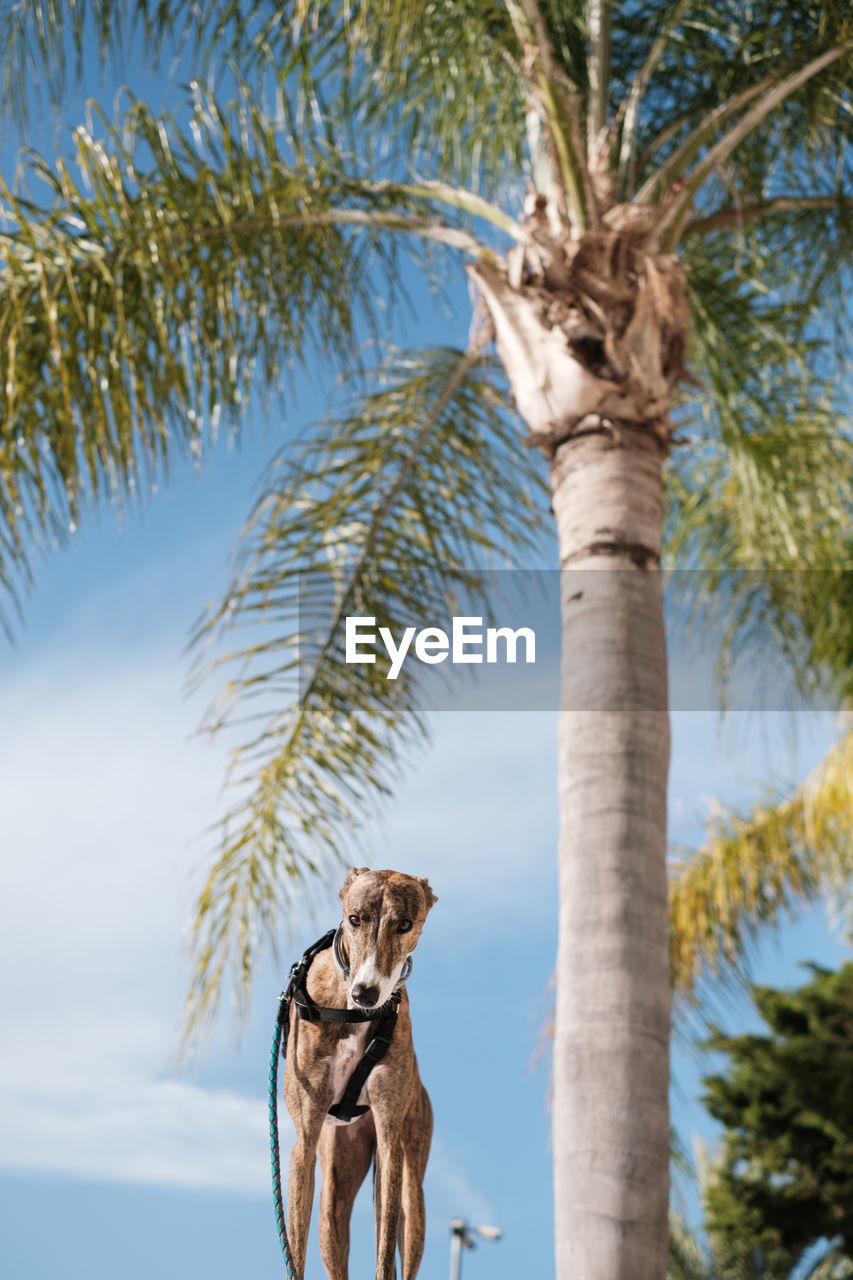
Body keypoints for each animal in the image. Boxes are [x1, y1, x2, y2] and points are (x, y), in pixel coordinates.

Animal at [281, 870, 435, 1280]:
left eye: (404, 924)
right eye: (354, 919)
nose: (366, 993)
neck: (352, 1013)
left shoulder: (389, 1134)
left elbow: (384, 1253)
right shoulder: (304, 1141)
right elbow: (295, 1250)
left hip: (411, 1183)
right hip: (333, 1190)